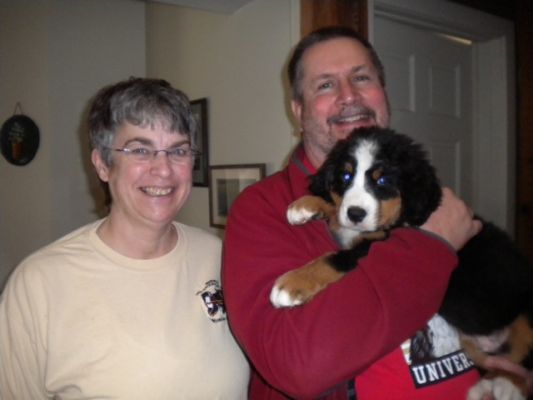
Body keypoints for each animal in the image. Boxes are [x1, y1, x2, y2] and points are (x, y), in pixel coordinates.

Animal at [270, 128, 532, 396]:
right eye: (346, 176)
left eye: (383, 181)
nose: (356, 214)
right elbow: (337, 206)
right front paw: (306, 205)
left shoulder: (378, 245)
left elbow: (335, 258)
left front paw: (292, 284)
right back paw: (485, 387)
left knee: (524, 364)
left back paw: (505, 387)